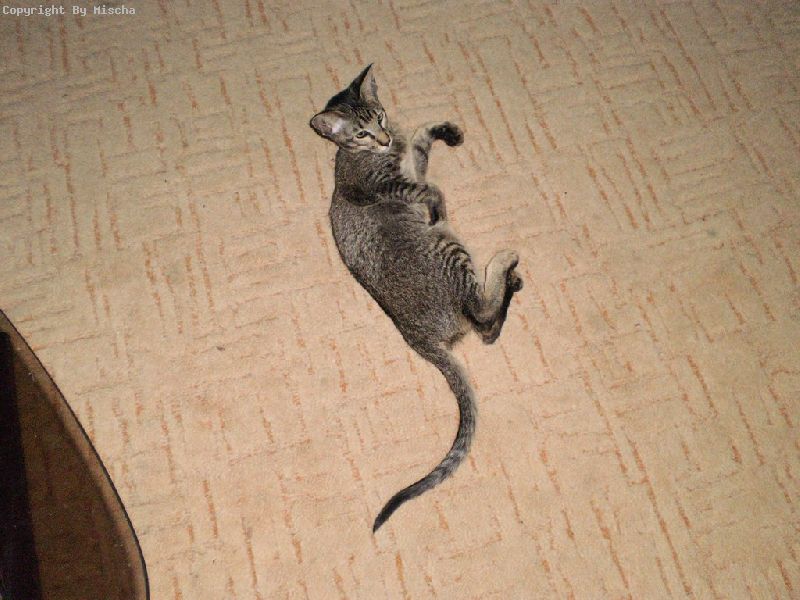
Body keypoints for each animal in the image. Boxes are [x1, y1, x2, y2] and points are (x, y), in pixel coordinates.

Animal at [310, 65, 523, 532]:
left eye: (380, 117)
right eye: (361, 133)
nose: (384, 138)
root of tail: (414, 336)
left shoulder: (413, 164)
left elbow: (423, 140)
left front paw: (443, 130)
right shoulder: (397, 186)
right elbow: (433, 190)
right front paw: (440, 204)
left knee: (488, 328)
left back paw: (511, 280)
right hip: (448, 250)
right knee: (483, 321)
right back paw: (503, 262)